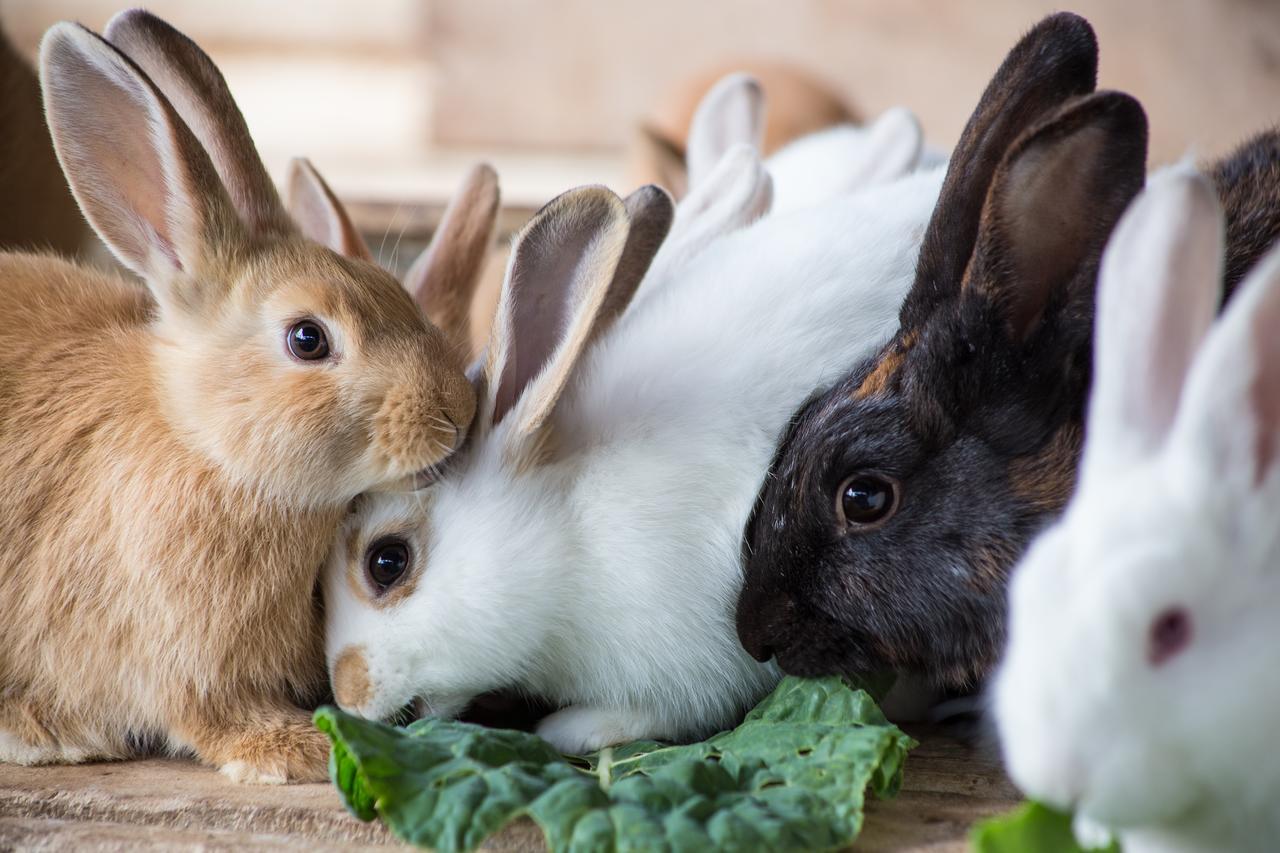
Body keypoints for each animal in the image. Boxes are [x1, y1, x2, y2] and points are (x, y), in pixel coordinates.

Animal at [0, 11, 478, 783]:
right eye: (308, 339)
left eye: (398, 292)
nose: (457, 414)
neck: (210, 448)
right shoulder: (182, 657)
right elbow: (213, 716)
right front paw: (298, 748)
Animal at [320, 146, 942, 753]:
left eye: (387, 562)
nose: (348, 693)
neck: (570, 535)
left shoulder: (705, 663)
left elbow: (664, 711)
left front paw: (574, 729)